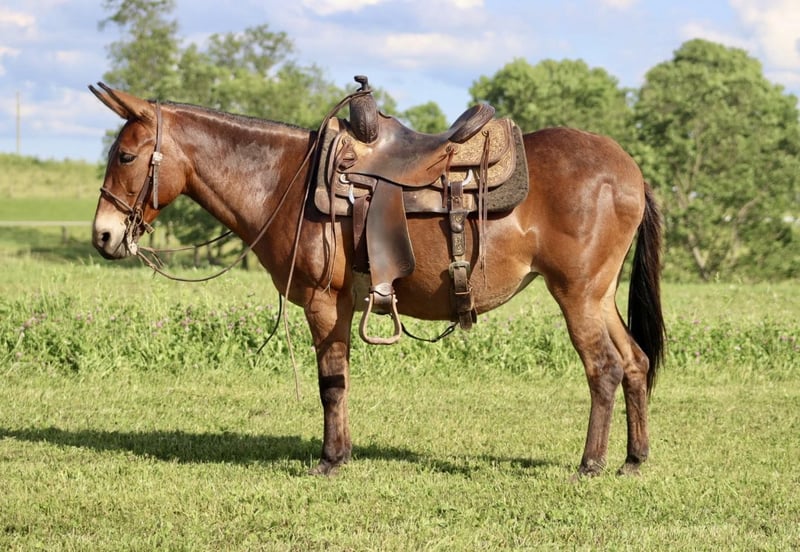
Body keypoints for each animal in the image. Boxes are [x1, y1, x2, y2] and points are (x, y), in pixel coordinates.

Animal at [89, 83, 665, 477]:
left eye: (125, 155)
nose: (103, 235)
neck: (284, 181)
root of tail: (631, 171)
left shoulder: (323, 302)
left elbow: (330, 382)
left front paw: (329, 459)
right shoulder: (341, 305)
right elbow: (340, 379)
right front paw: (340, 453)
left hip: (577, 295)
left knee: (605, 368)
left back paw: (590, 464)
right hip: (600, 296)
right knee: (635, 362)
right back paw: (633, 459)